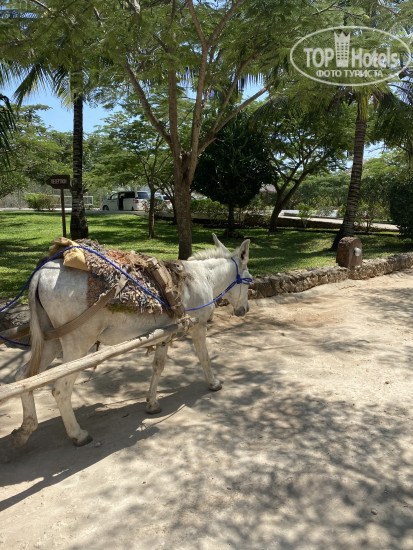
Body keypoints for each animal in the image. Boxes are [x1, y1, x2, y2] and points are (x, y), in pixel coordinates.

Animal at [11, 234, 251, 447]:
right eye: (249, 282)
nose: (245, 310)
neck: (203, 278)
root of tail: (40, 273)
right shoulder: (198, 326)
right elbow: (204, 357)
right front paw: (214, 383)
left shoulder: (165, 333)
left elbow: (158, 366)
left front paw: (152, 403)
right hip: (77, 342)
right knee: (61, 390)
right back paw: (78, 435)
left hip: (50, 339)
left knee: (24, 377)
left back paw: (26, 429)